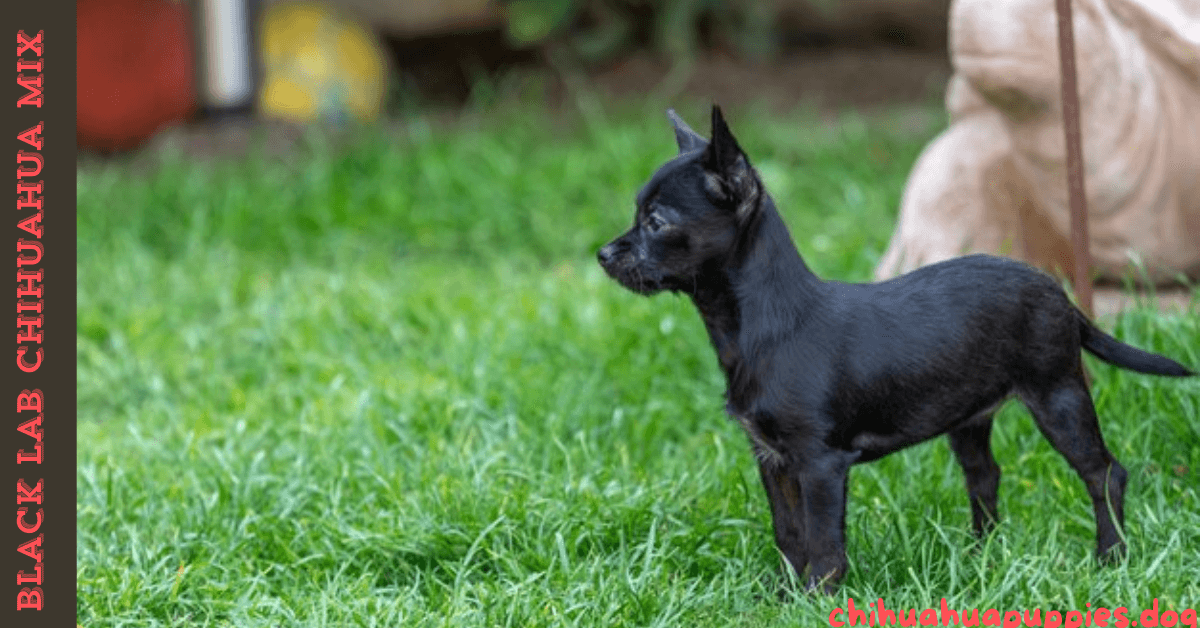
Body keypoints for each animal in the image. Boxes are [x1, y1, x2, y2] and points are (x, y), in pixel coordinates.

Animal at [595, 106, 1195, 595]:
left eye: (656, 222)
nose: (603, 253)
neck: (760, 327)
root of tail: (1059, 294)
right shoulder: (772, 460)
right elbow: (789, 534)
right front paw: (783, 596)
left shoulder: (820, 464)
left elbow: (823, 542)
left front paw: (816, 599)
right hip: (969, 418)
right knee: (985, 477)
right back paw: (980, 558)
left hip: (1059, 395)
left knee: (1104, 475)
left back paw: (1111, 558)